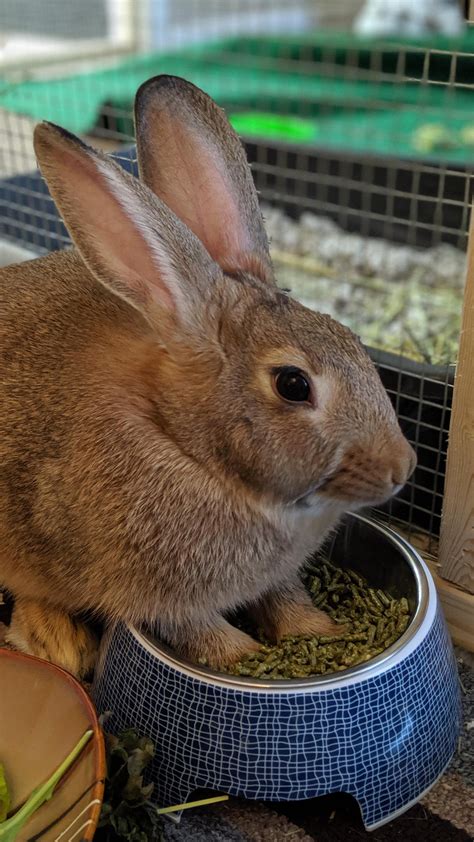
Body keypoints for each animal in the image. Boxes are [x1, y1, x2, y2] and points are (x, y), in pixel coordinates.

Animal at [0, 75, 416, 678]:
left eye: (352, 341)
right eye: (293, 385)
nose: (401, 468)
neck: (183, 441)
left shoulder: (274, 578)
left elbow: (287, 602)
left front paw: (324, 634)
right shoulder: (161, 601)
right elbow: (208, 637)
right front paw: (249, 658)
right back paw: (58, 642)